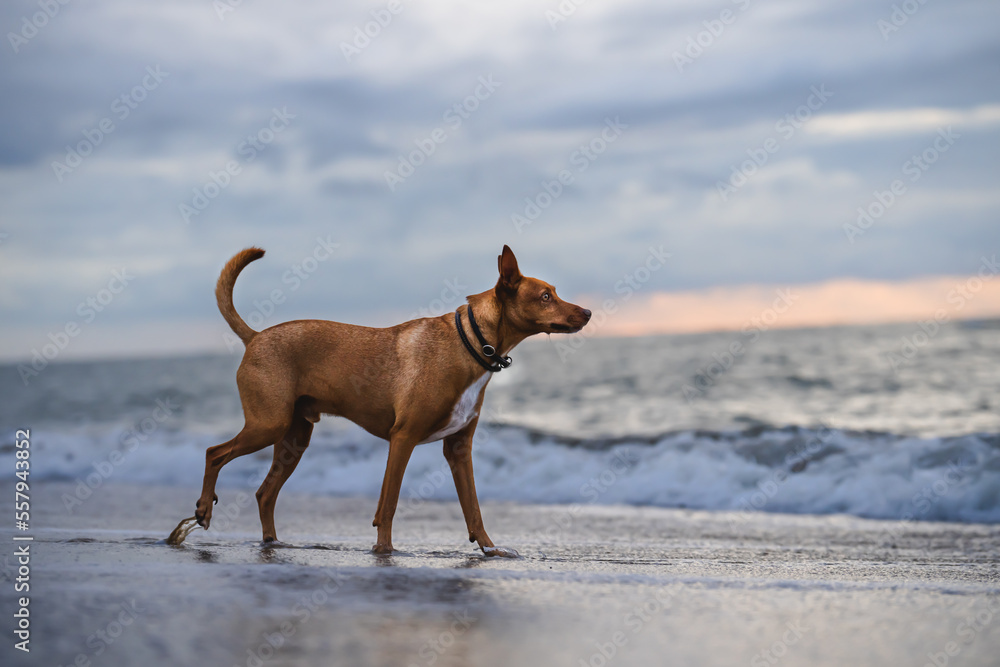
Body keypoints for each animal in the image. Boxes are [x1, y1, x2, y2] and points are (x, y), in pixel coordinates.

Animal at [179, 243, 588, 556]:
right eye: (545, 296)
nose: (587, 312)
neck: (470, 342)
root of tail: (256, 336)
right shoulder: (402, 439)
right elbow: (388, 504)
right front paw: (384, 550)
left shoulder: (459, 450)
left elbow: (473, 509)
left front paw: (490, 549)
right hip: (268, 424)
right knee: (214, 453)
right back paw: (203, 510)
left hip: (293, 439)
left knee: (265, 494)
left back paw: (272, 543)